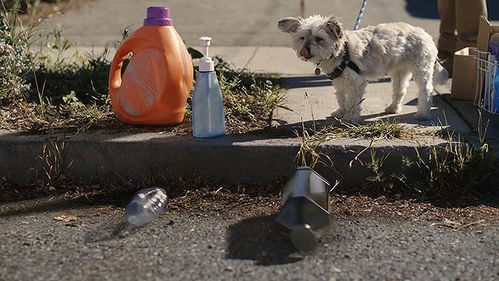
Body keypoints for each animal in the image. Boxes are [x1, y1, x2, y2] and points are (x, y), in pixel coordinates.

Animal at [278, 14, 450, 121]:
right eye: (302, 38)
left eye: (319, 39)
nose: (304, 50)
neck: (341, 52)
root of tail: (425, 34)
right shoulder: (339, 81)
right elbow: (342, 98)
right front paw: (341, 112)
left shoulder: (357, 81)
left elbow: (353, 101)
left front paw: (351, 117)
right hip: (399, 72)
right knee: (399, 91)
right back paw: (393, 108)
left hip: (421, 69)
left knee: (425, 92)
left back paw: (422, 114)